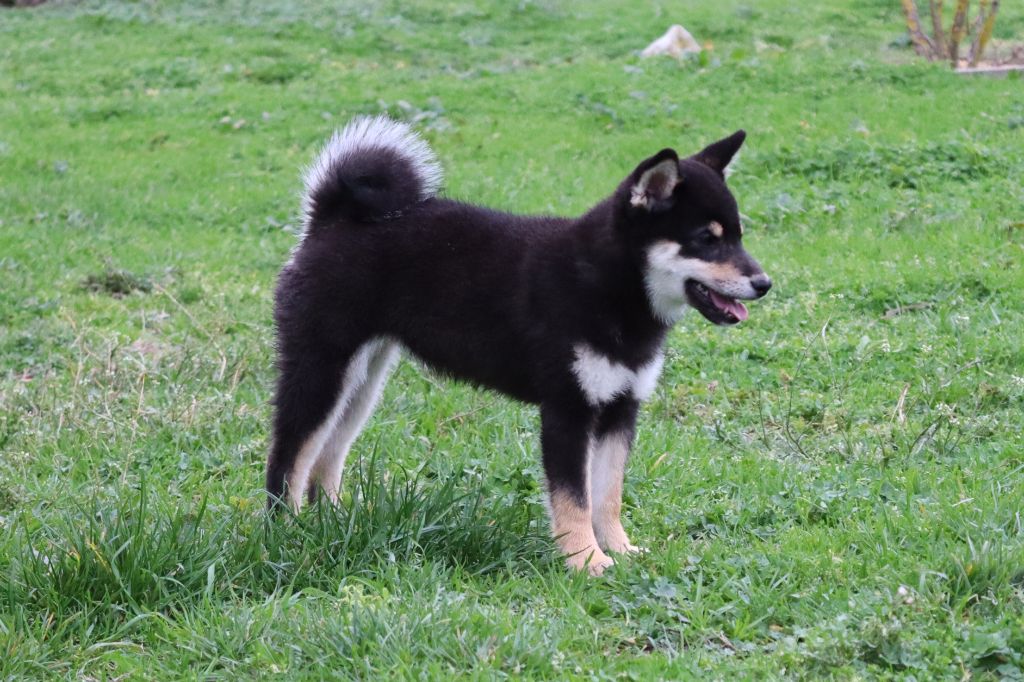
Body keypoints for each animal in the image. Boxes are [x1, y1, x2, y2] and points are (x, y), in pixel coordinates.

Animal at [268, 116, 770, 573]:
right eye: (705, 239)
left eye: (739, 235)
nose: (764, 283)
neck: (607, 284)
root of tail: (332, 218)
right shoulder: (568, 410)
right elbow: (574, 499)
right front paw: (587, 560)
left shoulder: (621, 407)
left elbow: (607, 495)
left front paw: (621, 551)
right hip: (322, 370)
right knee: (289, 456)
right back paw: (285, 532)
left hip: (362, 383)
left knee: (326, 455)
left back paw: (333, 522)